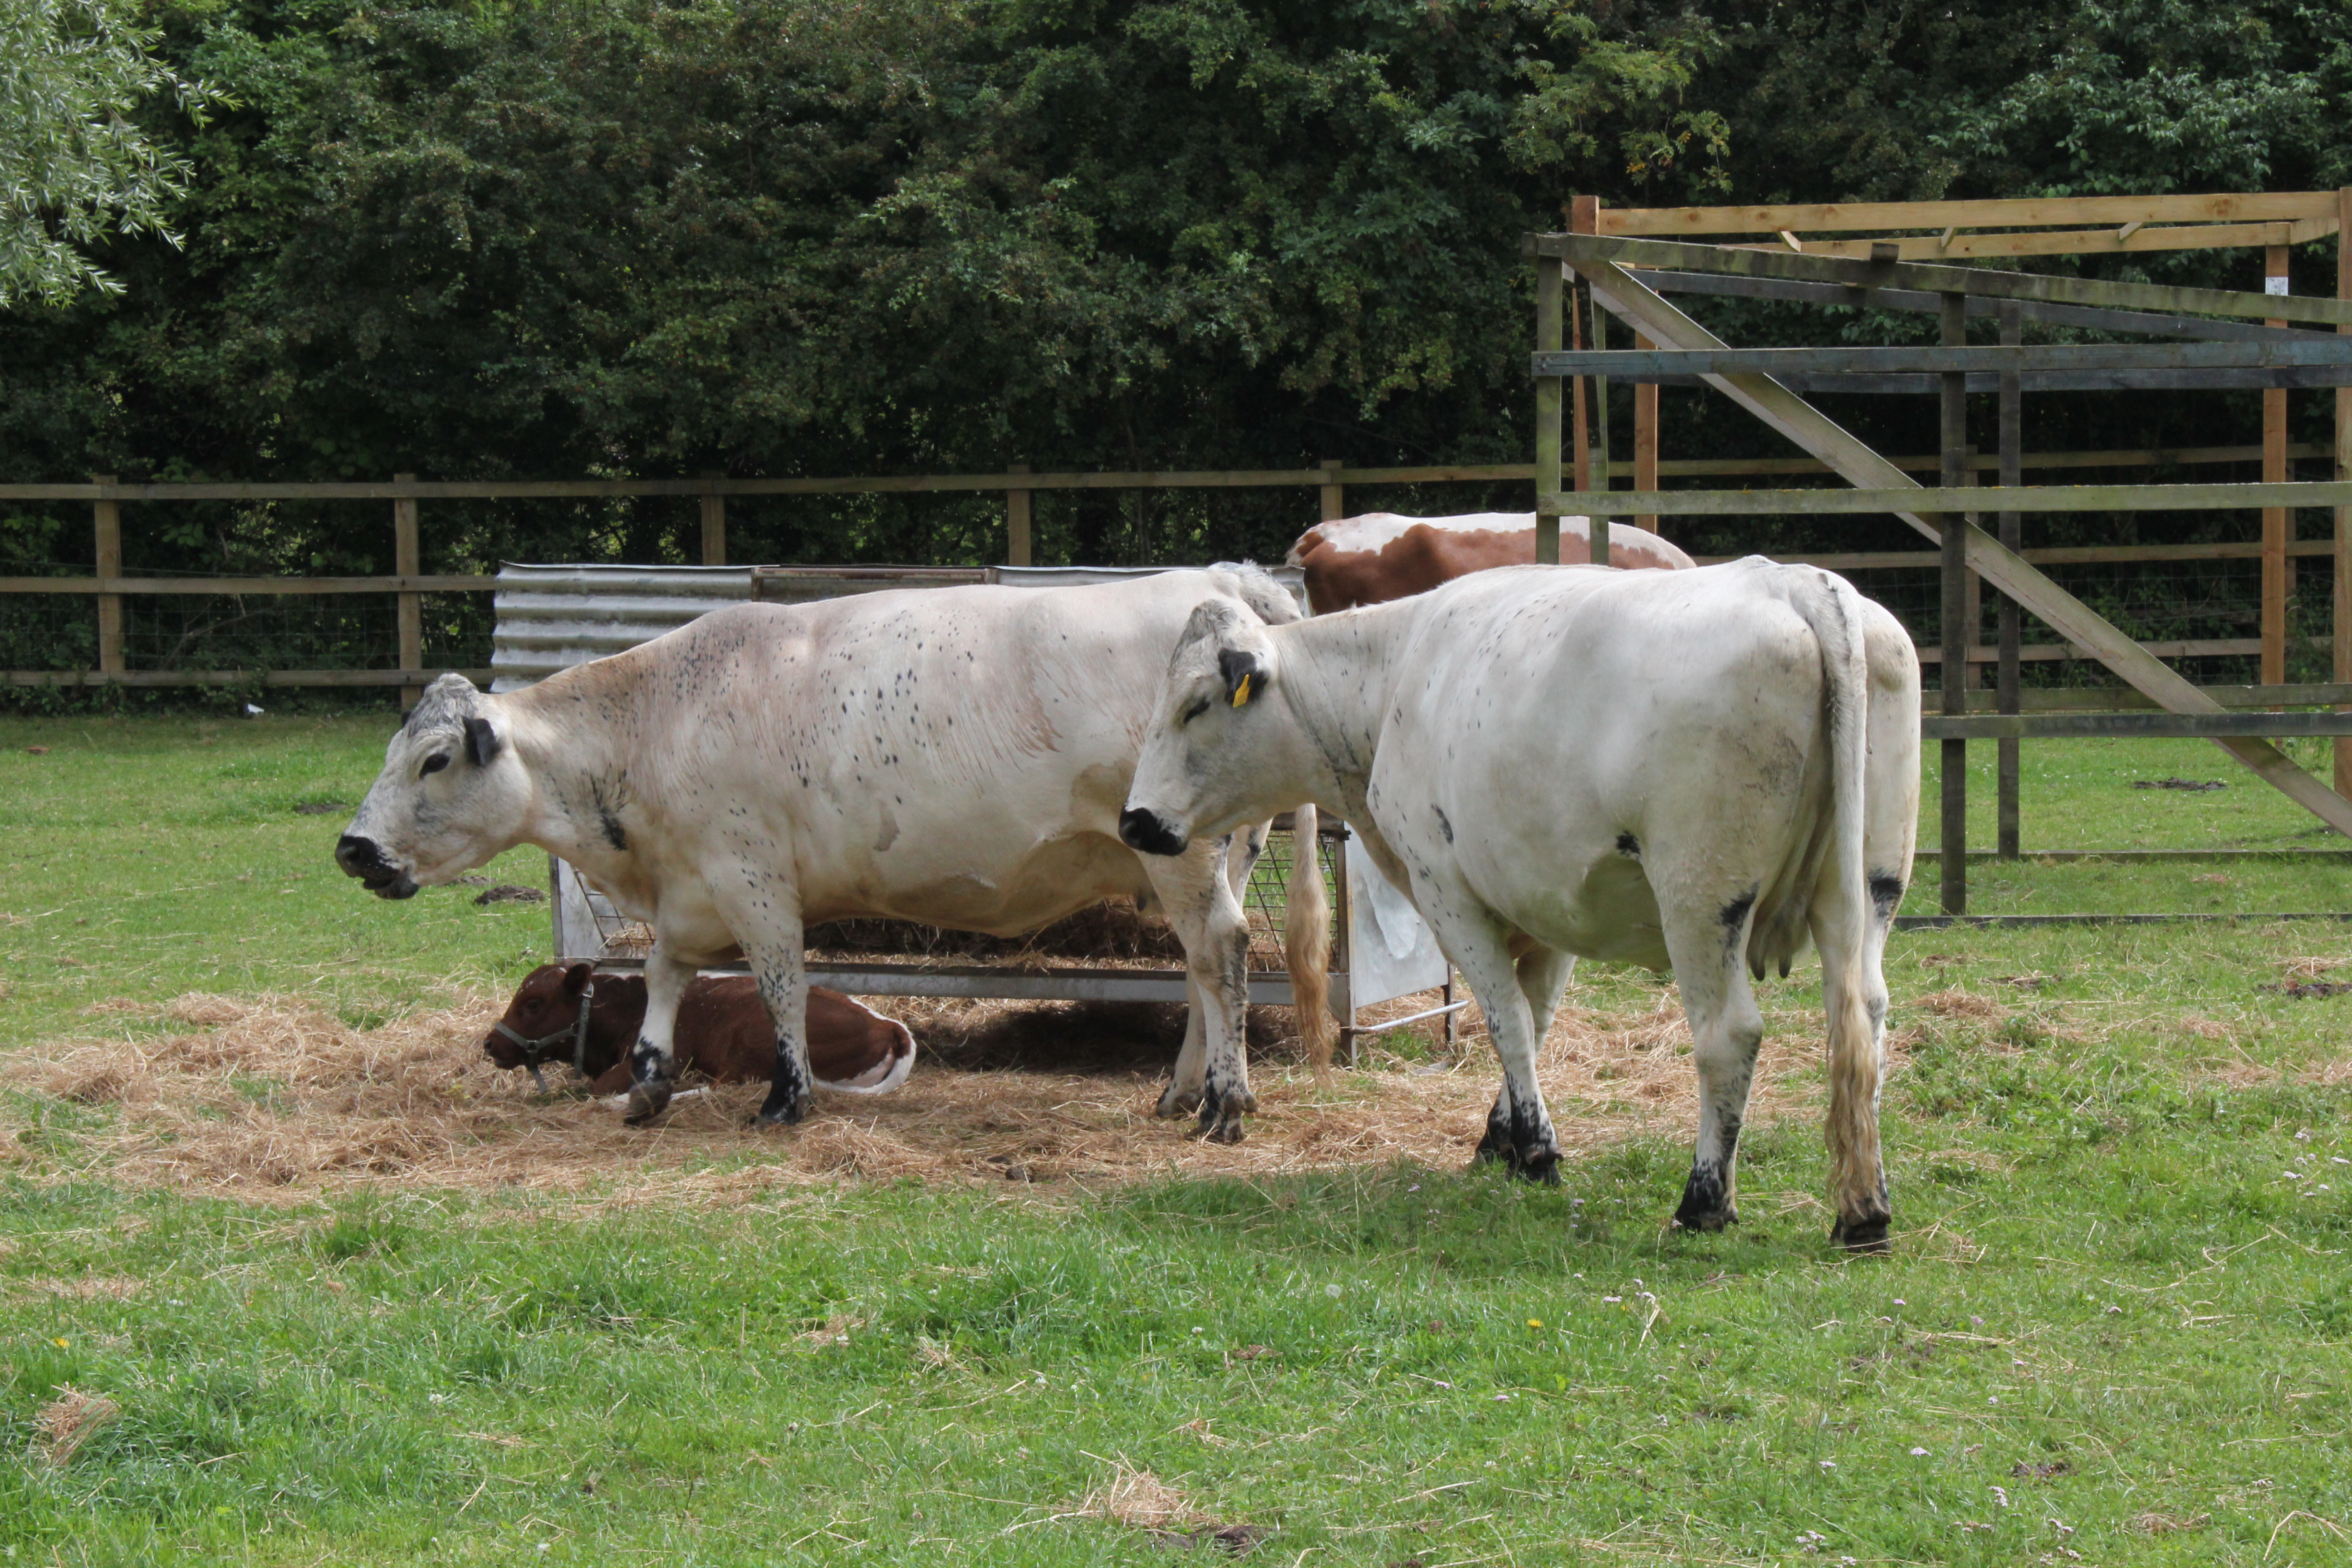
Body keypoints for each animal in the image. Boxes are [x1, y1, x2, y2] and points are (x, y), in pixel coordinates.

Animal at [1118, 558, 1920, 1251]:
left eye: (1196, 706)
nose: (1136, 822)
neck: (1392, 677)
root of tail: (1798, 583)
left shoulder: (1447, 888)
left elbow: (1504, 1019)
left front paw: (1535, 1149)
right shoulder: (1553, 903)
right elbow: (1535, 1020)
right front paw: (1501, 1137)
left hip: (1700, 896)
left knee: (1731, 1034)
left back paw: (1703, 1203)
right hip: (1869, 889)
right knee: (1864, 1016)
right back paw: (1864, 1210)